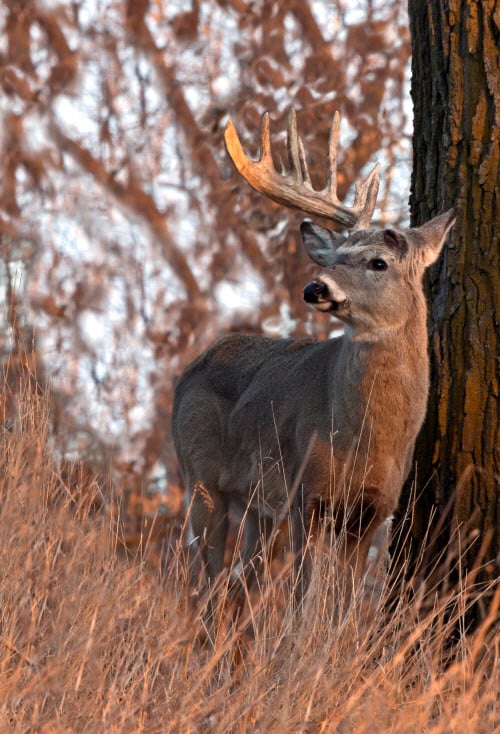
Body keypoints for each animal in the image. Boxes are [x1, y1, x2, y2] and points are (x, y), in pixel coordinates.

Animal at [173, 106, 458, 608]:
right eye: (334, 257)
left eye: (378, 262)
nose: (315, 287)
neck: (365, 439)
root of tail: (191, 369)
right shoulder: (307, 493)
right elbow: (304, 601)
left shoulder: (373, 509)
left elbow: (342, 602)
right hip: (200, 476)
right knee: (207, 581)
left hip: (256, 506)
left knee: (242, 582)